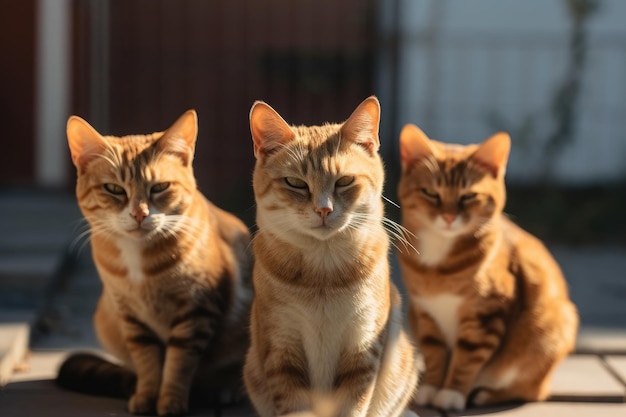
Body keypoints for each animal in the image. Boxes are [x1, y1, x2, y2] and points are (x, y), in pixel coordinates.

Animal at [57, 109, 252, 414]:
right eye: (113, 189)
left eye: (160, 187)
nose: (140, 214)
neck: (139, 261)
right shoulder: (131, 316)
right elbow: (148, 363)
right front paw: (147, 395)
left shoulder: (195, 311)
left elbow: (179, 364)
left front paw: (171, 400)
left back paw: (224, 389)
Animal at [244, 95, 420, 416]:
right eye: (296, 183)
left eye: (344, 181)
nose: (323, 209)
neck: (323, 275)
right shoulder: (282, 350)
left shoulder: (363, 348)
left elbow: (353, 405)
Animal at [394, 123, 576, 410]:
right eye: (430, 193)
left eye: (469, 196)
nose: (448, 217)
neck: (438, 266)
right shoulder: (425, 313)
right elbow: (434, 353)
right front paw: (431, 387)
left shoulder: (487, 314)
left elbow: (467, 358)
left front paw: (451, 393)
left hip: (552, 329)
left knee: (532, 390)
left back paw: (485, 394)